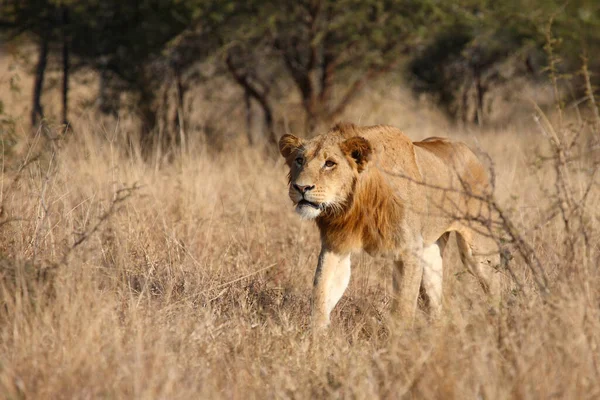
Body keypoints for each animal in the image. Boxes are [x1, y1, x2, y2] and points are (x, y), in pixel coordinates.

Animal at [278, 122, 500, 328]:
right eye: (299, 160)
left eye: (330, 163)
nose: (301, 187)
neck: (356, 205)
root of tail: (467, 150)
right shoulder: (335, 246)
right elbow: (321, 292)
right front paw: (317, 338)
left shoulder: (410, 251)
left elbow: (403, 308)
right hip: (431, 252)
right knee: (435, 301)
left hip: (477, 251)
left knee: (495, 284)